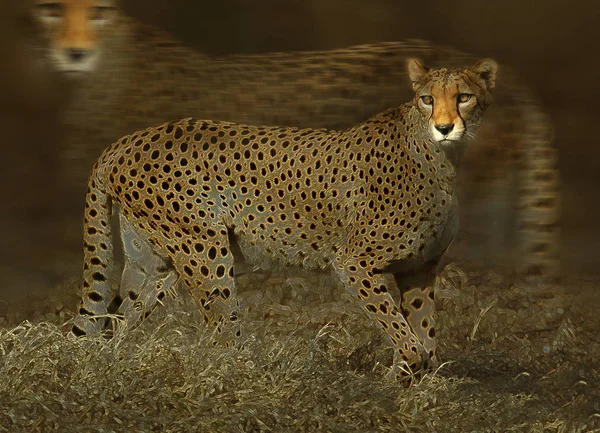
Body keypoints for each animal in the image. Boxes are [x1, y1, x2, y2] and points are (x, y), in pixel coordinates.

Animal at [72, 57, 500, 374]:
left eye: (464, 97)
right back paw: (247, 381)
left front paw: (417, 390)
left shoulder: (420, 267)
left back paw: (114, 367)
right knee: (221, 328)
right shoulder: (354, 263)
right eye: (427, 99)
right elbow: (405, 336)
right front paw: (400, 379)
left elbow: (424, 335)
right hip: (204, 251)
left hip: (153, 262)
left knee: (115, 320)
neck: (442, 156)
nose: (444, 126)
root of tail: (129, 138)